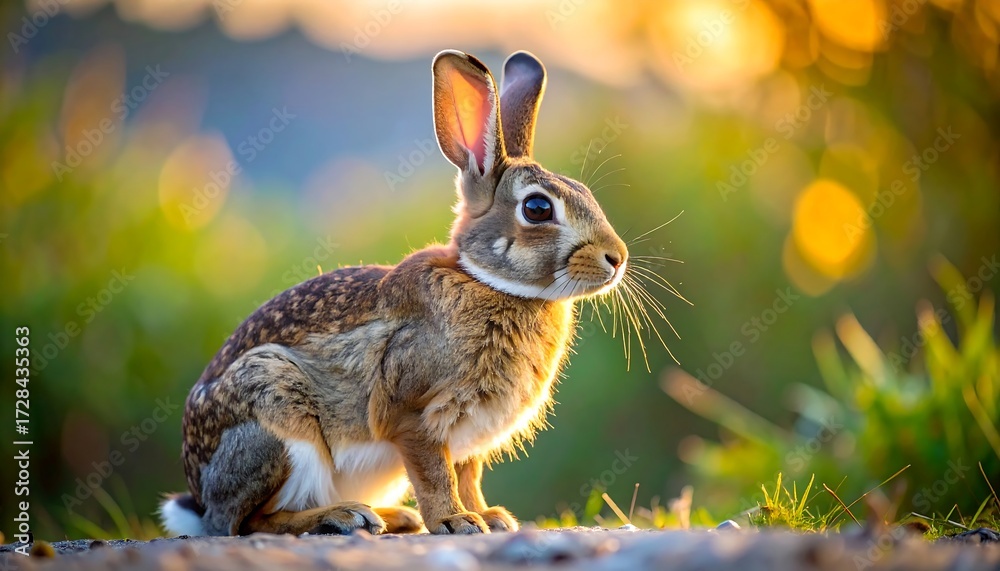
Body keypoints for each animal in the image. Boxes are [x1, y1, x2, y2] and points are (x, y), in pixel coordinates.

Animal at [160, 49, 629, 537]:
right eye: (537, 208)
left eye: (585, 193)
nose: (617, 258)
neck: (486, 280)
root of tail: (200, 497)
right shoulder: (414, 416)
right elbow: (435, 474)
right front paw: (456, 521)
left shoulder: (469, 437)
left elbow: (468, 475)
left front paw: (489, 517)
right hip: (275, 417)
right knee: (247, 522)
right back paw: (343, 516)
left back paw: (390, 517)